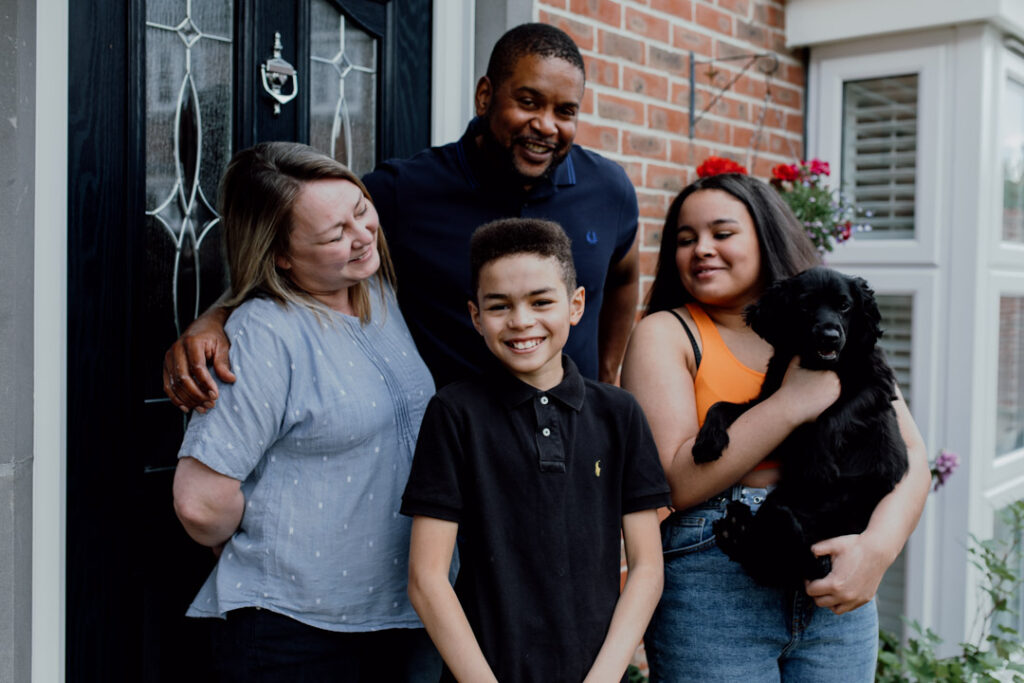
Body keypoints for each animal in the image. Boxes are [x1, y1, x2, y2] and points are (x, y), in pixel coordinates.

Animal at [692, 266, 909, 589]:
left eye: (844, 306)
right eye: (806, 305)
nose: (830, 336)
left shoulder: (875, 383)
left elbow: (831, 416)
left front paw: (818, 465)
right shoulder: (771, 400)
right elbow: (721, 406)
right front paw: (707, 441)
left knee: (807, 564)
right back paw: (736, 528)